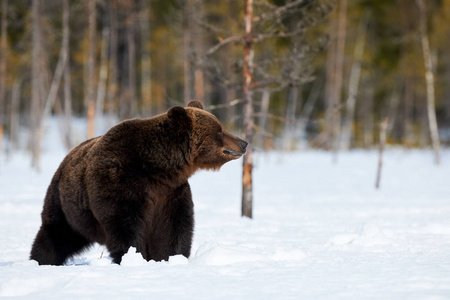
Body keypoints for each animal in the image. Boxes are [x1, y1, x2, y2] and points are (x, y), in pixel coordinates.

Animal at [29, 100, 248, 264]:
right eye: (219, 130)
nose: (244, 142)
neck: (158, 168)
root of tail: (67, 157)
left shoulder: (170, 192)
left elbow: (173, 228)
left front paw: (170, 257)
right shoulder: (121, 181)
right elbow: (125, 225)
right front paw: (133, 257)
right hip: (65, 203)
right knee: (54, 233)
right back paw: (41, 260)